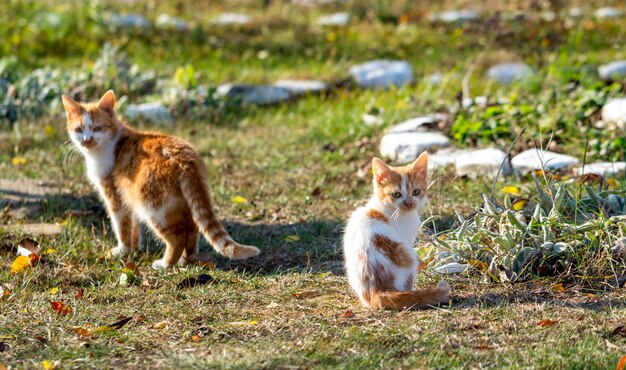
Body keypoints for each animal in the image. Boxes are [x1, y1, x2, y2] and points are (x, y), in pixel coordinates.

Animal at [61, 89, 258, 268]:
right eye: (79, 129)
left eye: (97, 128)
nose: (86, 140)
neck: (110, 144)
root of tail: (184, 158)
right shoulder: (129, 197)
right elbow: (134, 227)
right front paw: (134, 249)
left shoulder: (116, 198)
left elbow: (122, 226)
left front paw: (123, 250)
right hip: (183, 202)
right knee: (192, 230)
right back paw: (186, 260)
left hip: (154, 206)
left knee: (178, 237)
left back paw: (166, 264)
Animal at [342, 152, 448, 310]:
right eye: (396, 194)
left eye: (416, 192)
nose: (409, 203)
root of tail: (378, 289)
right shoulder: (407, 239)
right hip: (408, 255)